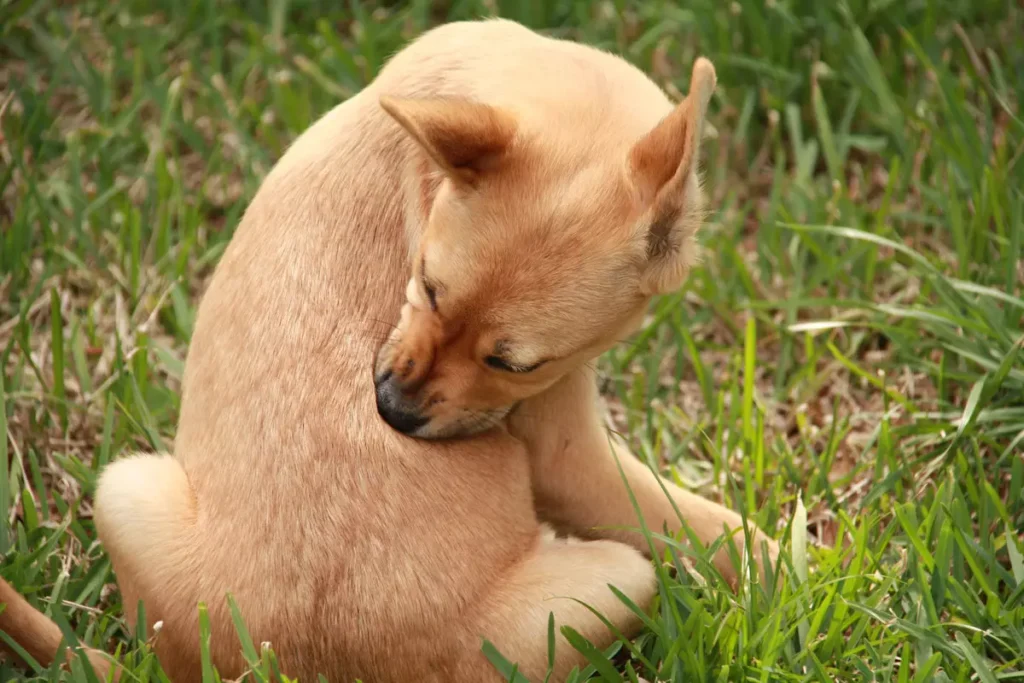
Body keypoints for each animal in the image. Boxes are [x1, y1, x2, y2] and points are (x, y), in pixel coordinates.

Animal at [0, 18, 774, 679]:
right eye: (426, 285)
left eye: (511, 363)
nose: (391, 411)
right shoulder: (567, 455)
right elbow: (714, 527)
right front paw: (788, 567)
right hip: (620, 575)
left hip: (127, 494)